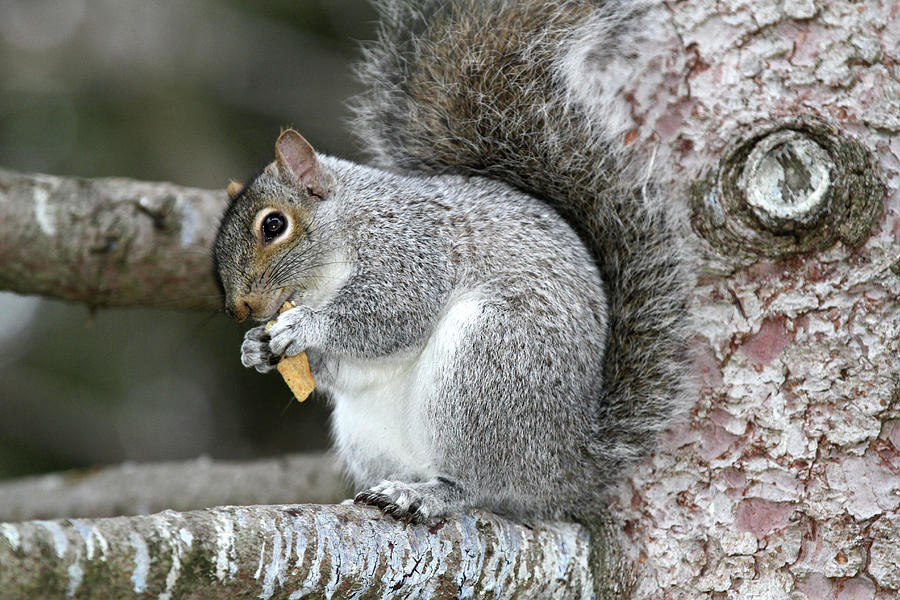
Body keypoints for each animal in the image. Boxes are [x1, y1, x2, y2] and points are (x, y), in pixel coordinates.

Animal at [213, 0, 688, 520]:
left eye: (274, 226)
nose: (239, 310)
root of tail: (566, 472)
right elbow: (345, 366)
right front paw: (255, 349)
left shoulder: (411, 249)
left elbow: (391, 316)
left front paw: (305, 326)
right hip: (371, 431)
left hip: (486, 368)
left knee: (479, 484)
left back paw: (425, 494)